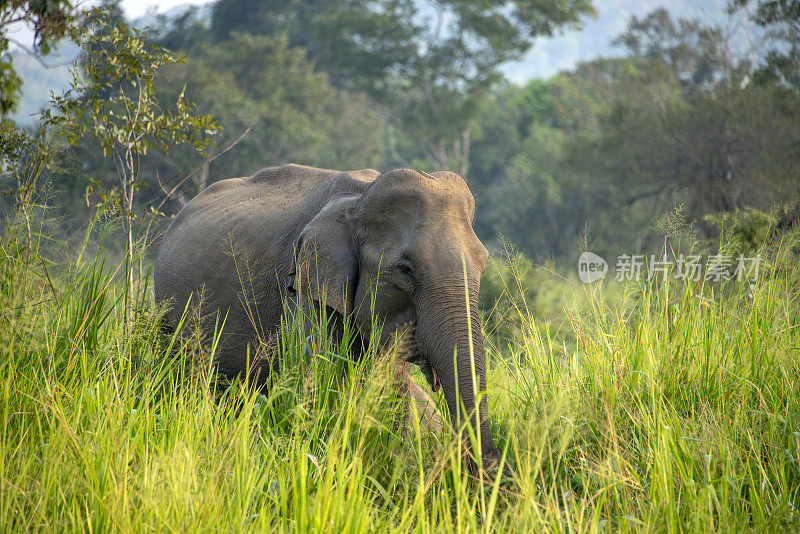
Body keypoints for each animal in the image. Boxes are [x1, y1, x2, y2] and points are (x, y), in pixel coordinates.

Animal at [153, 163, 510, 478]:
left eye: (483, 262)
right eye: (405, 270)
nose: (488, 472)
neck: (361, 199)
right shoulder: (305, 286)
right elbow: (311, 387)